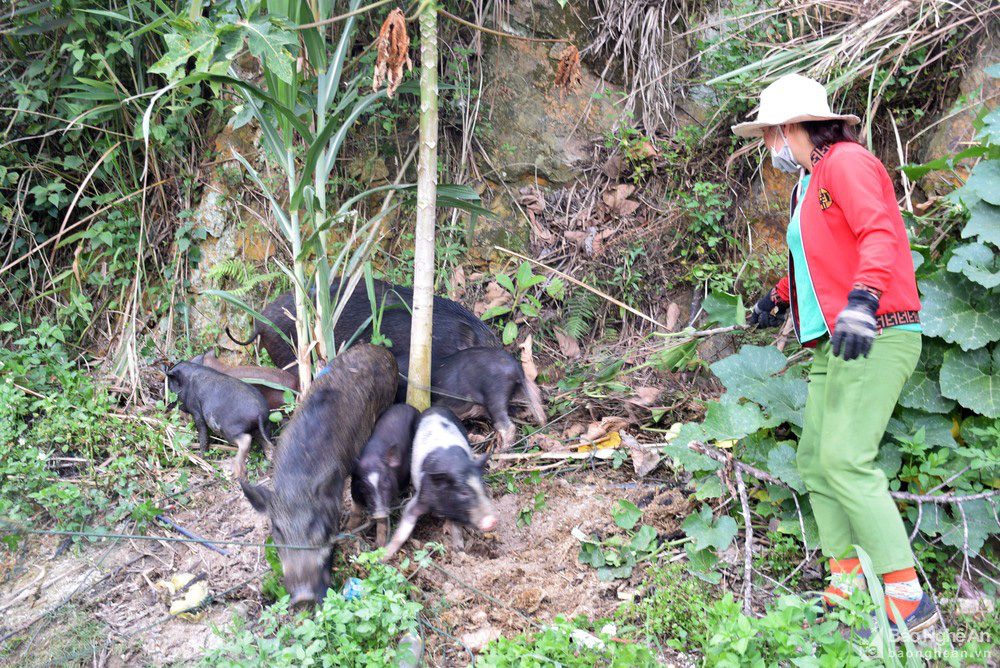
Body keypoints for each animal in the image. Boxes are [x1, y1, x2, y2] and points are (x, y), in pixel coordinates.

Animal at [350, 404, 420, 544]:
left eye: (386, 484)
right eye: (364, 488)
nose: (379, 512)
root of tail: (408, 405)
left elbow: (383, 520)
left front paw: (380, 544)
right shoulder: (354, 489)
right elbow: (355, 511)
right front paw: (348, 531)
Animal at [382, 408, 496, 560]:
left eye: (482, 486)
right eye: (463, 493)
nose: (492, 520)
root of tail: (436, 408)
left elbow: (456, 527)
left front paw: (459, 550)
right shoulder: (422, 496)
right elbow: (404, 525)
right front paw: (382, 557)